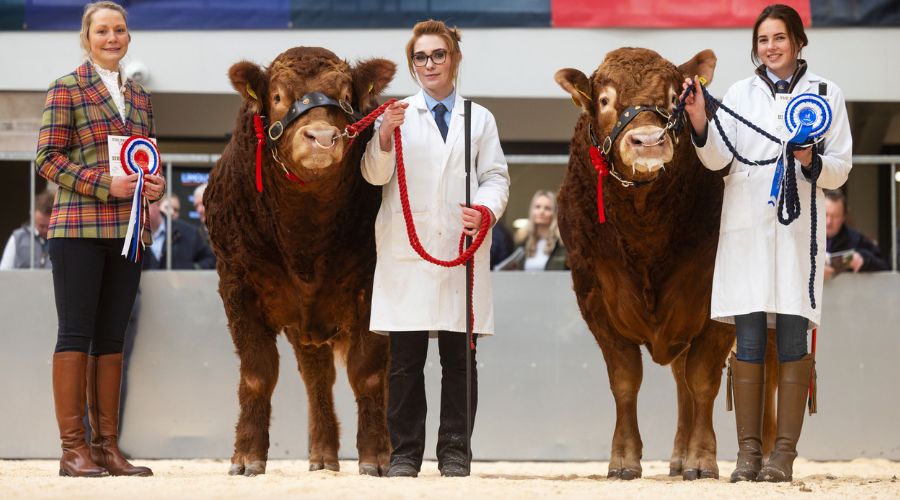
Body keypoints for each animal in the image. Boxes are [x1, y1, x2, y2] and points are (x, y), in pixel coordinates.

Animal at [207, 47, 398, 476]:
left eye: (346, 97)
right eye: (278, 96)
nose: (322, 138)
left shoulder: (372, 287)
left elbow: (368, 373)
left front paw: (376, 456)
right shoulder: (236, 284)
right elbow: (257, 373)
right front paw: (247, 455)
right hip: (304, 329)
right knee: (317, 379)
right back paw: (323, 454)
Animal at [556, 47, 740, 480]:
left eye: (674, 98)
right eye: (605, 100)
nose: (649, 141)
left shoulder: (717, 300)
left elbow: (703, 379)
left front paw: (703, 458)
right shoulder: (594, 296)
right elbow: (625, 379)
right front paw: (623, 458)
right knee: (680, 380)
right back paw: (677, 458)